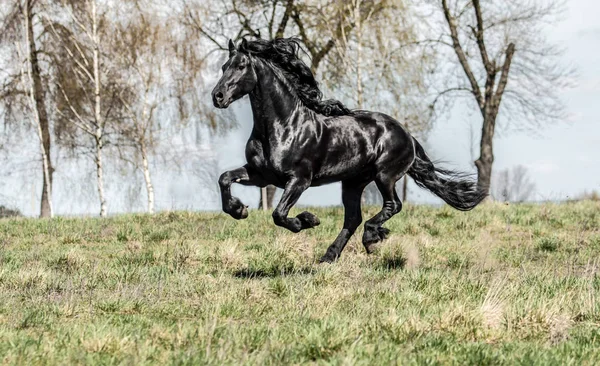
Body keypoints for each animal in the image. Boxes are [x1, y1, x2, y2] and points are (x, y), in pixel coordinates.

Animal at [210, 38, 482, 264]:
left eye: (241, 65)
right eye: (224, 67)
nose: (217, 96)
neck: (283, 126)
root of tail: (406, 134)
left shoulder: (299, 179)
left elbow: (279, 214)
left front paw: (307, 220)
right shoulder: (261, 175)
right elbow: (224, 178)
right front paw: (239, 210)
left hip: (385, 175)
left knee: (392, 205)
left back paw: (371, 238)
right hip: (353, 182)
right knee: (353, 218)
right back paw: (329, 256)